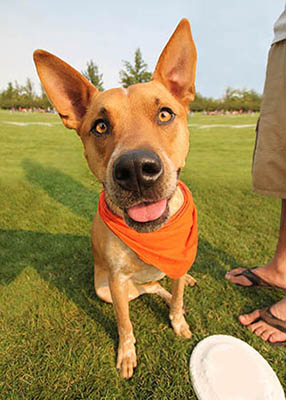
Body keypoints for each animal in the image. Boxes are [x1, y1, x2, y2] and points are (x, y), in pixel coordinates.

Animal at [33, 18, 198, 378]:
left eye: (165, 114)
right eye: (100, 126)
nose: (136, 169)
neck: (152, 237)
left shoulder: (177, 260)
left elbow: (178, 297)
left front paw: (178, 322)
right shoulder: (118, 283)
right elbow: (125, 325)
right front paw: (126, 354)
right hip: (105, 288)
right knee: (150, 289)